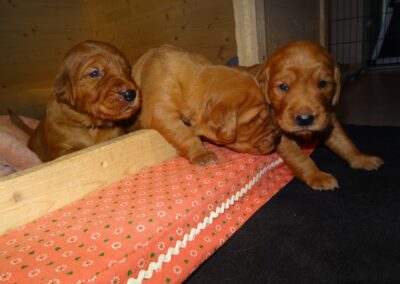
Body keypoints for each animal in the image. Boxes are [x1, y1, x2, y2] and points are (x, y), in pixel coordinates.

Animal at [239, 40, 382, 190]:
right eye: (283, 86)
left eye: (323, 83)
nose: (305, 119)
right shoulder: (281, 133)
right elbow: (300, 158)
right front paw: (317, 176)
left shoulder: (329, 120)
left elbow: (345, 143)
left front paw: (361, 159)